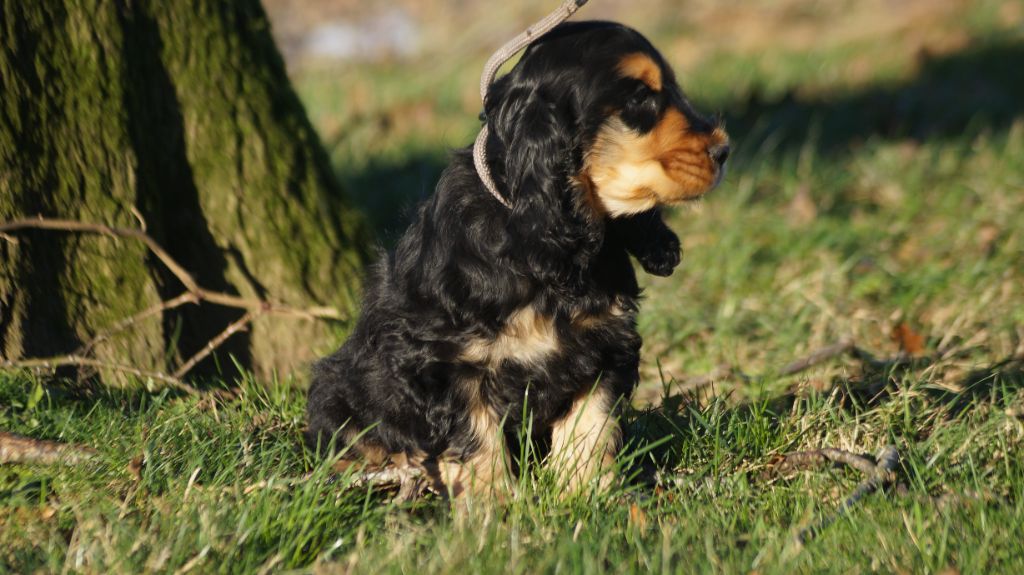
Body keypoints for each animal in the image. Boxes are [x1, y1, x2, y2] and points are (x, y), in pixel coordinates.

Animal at [303, 22, 729, 495]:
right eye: (639, 98)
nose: (724, 151)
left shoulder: (604, 344)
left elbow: (591, 427)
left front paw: (588, 496)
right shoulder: (449, 363)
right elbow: (477, 442)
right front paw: (492, 506)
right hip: (337, 387)